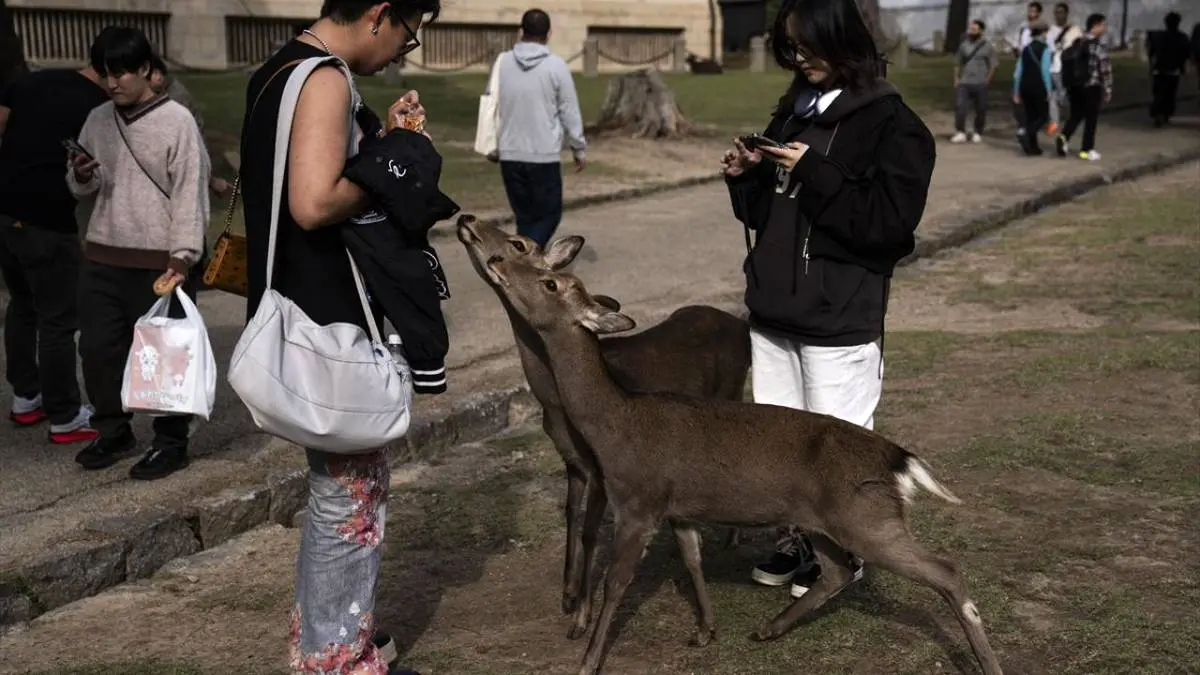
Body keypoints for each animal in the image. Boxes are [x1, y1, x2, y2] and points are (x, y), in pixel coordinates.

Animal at [456, 215, 751, 639]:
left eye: (519, 243)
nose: (466, 219)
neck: (555, 400)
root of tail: (742, 325)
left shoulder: (599, 466)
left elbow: (590, 531)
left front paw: (580, 617)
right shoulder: (573, 461)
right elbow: (571, 514)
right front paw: (567, 595)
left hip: (733, 390)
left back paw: (733, 536)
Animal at [480, 250, 1005, 675]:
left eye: (551, 282)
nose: (497, 262)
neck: (615, 426)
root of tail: (899, 459)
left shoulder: (637, 500)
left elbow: (617, 582)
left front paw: (588, 660)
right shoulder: (679, 508)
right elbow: (691, 559)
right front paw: (704, 631)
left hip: (866, 518)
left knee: (946, 571)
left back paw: (990, 664)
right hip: (826, 519)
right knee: (838, 571)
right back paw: (767, 629)